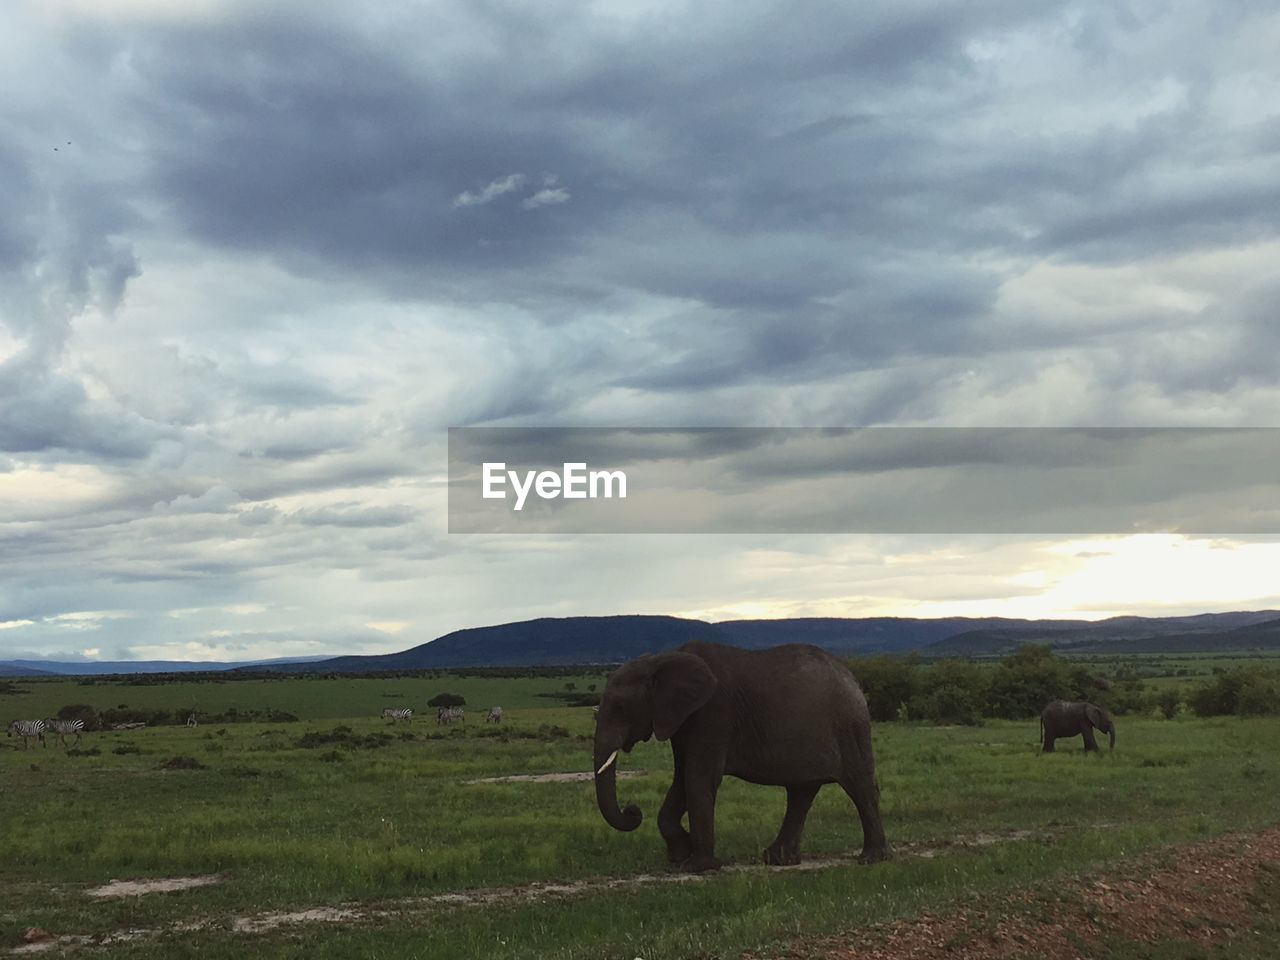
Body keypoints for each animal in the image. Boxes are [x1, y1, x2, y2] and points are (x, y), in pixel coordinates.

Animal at [591, 642, 885, 875]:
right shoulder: (681, 720)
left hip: (849, 727)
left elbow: (698, 778)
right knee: (801, 792)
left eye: (621, 708)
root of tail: (852, 677)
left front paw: (698, 866)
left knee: (859, 786)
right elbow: (682, 779)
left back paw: (872, 859)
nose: (633, 810)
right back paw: (777, 859)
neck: (661, 660)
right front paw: (679, 856)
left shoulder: (713, 714)